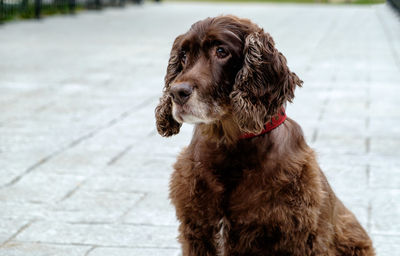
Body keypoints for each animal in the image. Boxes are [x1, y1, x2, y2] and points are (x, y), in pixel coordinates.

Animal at [154, 15, 376, 255]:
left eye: (221, 51)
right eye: (184, 55)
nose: (177, 93)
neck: (230, 143)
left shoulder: (296, 237)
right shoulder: (197, 230)